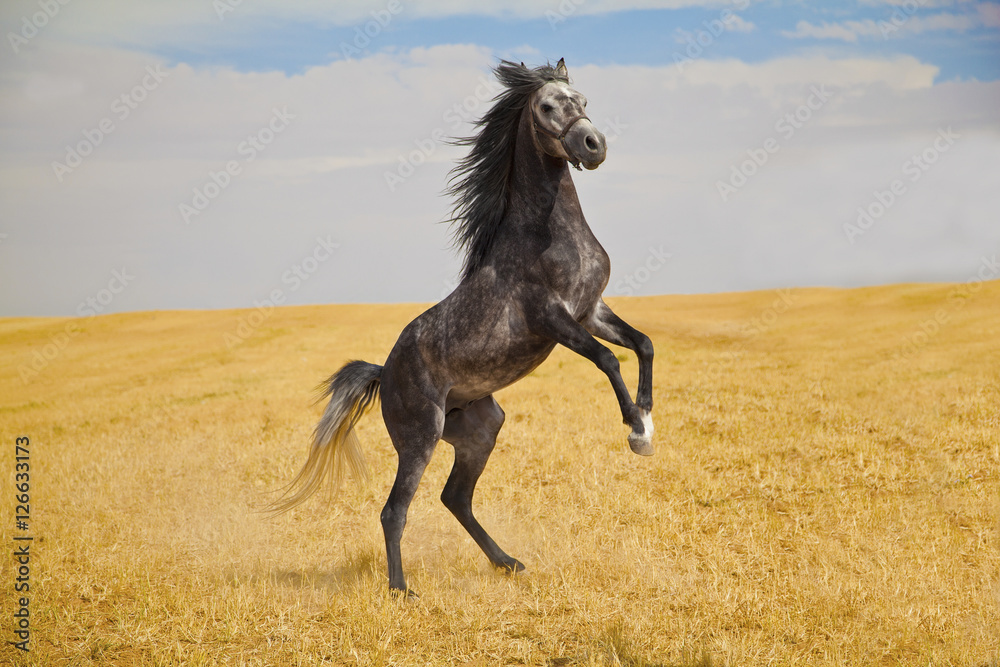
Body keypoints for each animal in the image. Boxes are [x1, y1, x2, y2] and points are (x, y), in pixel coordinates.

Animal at [271, 59, 655, 595]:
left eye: (583, 100)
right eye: (547, 106)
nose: (593, 144)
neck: (549, 233)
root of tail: (383, 373)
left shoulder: (591, 310)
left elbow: (642, 344)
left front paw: (647, 418)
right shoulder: (554, 318)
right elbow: (607, 358)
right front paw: (635, 431)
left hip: (480, 430)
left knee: (455, 498)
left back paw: (507, 562)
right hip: (420, 438)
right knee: (394, 510)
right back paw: (401, 590)